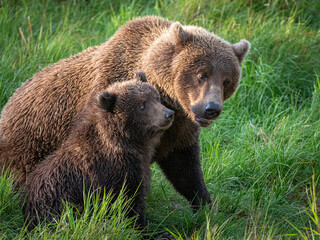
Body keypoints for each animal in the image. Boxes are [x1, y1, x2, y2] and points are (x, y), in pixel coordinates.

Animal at [0, 15, 250, 209]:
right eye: (201, 74)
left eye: (227, 80)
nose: (211, 109)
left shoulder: (178, 129)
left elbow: (185, 168)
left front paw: (206, 205)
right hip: (26, 149)